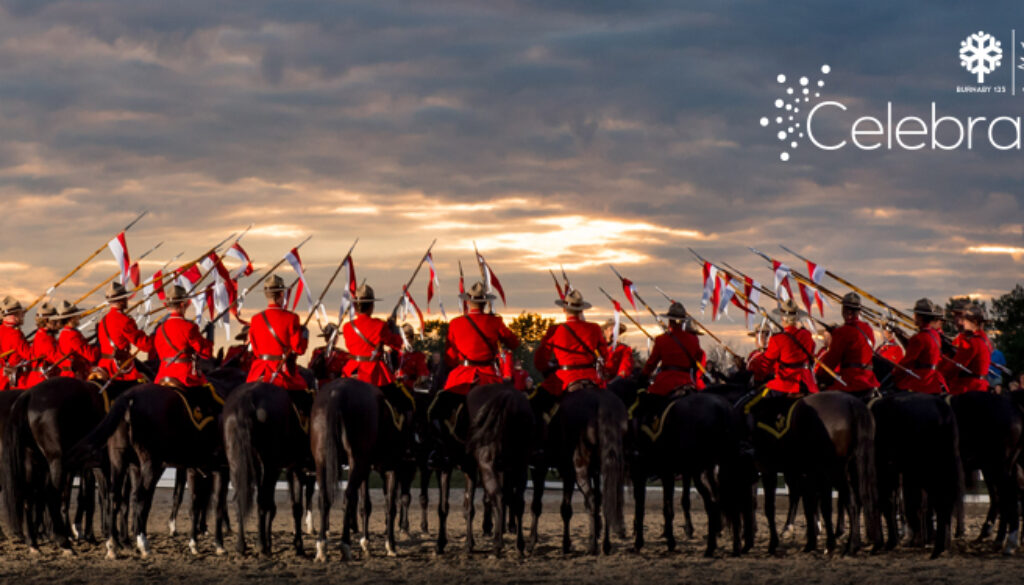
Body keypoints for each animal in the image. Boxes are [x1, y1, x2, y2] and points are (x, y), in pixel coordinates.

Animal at [307, 379, 403, 561]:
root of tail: (336, 394)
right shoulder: (391, 468)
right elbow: (390, 507)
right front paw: (391, 545)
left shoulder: (366, 470)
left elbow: (365, 505)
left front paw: (366, 543)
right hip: (357, 462)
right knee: (348, 498)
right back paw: (345, 545)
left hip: (322, 462)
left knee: (324, 498)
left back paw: (322, 546)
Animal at [532, 387, 626, 557]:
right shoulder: (589, 472)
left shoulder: (545, 468)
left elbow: (542, 504)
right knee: (607, 499)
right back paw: (606, 545)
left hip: (579, 468)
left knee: (593, 499)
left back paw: (592, 546)